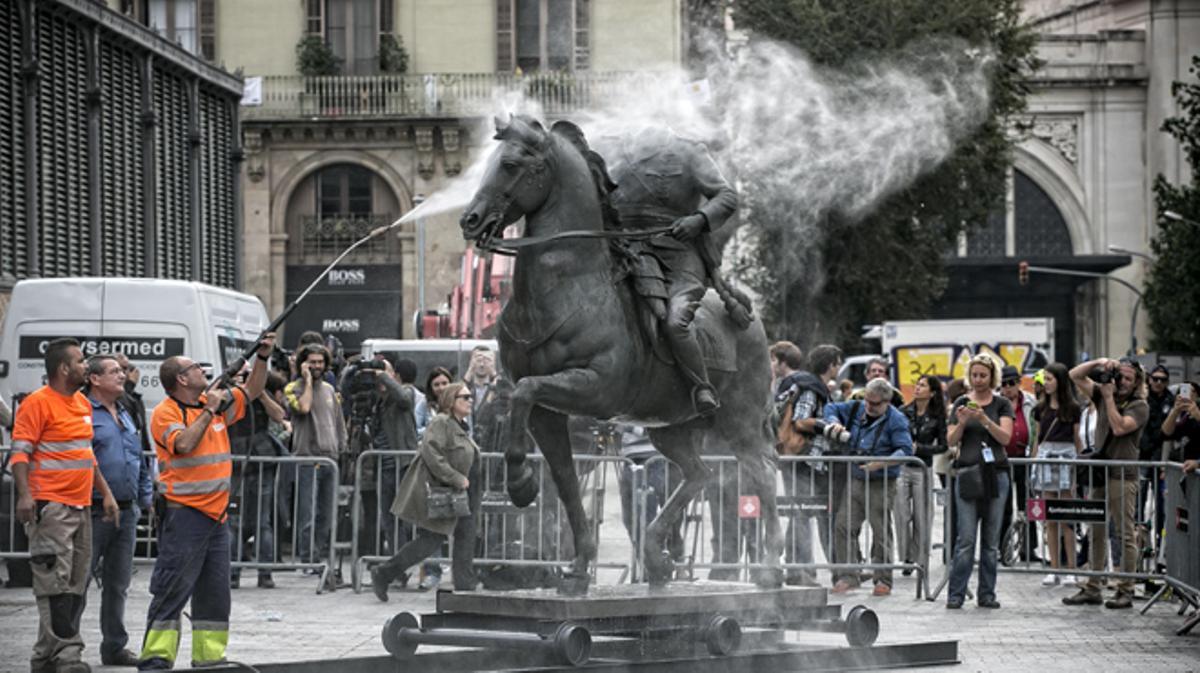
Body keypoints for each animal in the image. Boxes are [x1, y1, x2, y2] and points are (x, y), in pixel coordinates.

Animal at [453, 116, 782, 592]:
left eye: (511, 164)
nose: (471, 219)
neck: (569, 286)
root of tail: (750, 317)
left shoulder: (594, 388)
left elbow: (526, 391)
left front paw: (519, 483)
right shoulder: (548, 413)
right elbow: (566, 482)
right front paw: (576, 569)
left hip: (738, 422)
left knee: (760, 474)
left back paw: (771, 569)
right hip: (671, 427)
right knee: (698, 474)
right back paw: (658, 560)